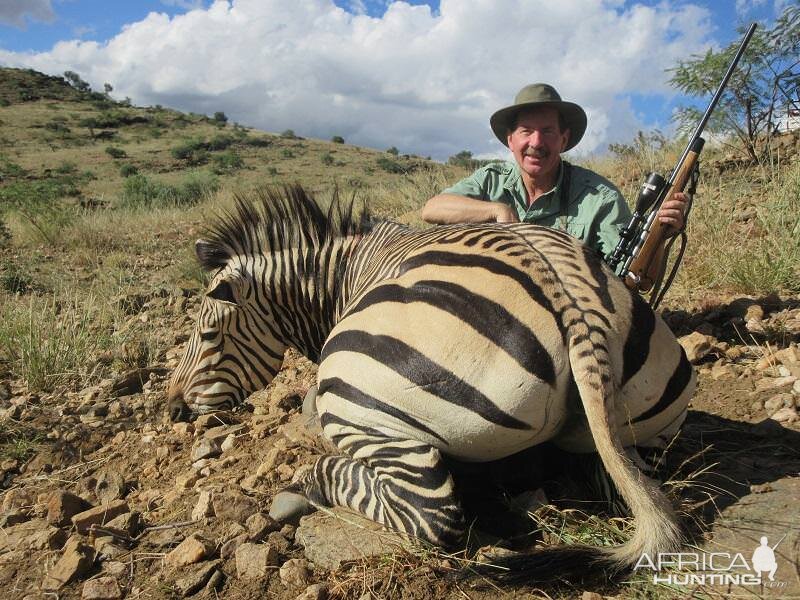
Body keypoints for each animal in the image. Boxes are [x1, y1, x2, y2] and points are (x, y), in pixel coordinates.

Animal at [167, 185, 692, 580]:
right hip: (644, 426)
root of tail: (572, 300)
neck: (345, 273)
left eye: (208, 334)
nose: (172, 409)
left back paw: (306, 483)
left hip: (362, 404)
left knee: (430, 515)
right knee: (632, 481)